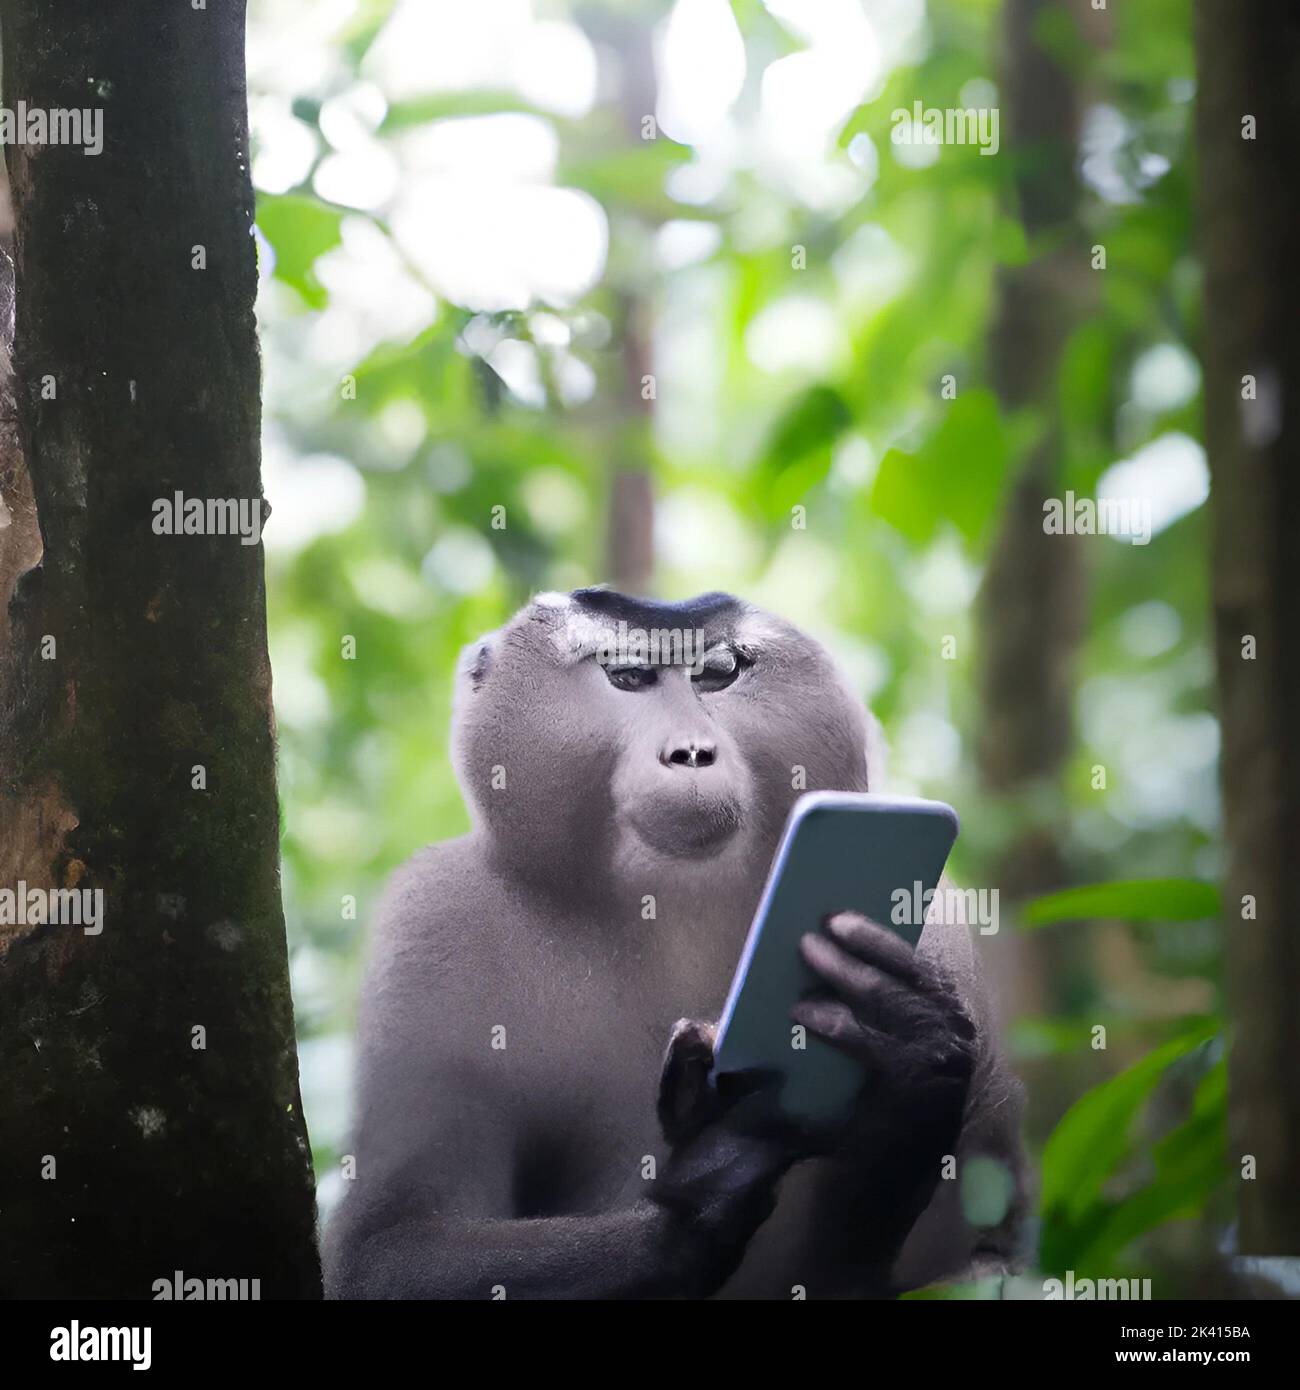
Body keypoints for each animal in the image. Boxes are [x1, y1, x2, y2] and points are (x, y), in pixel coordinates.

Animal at [323, 588, 1027, 1299]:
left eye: (717, 674)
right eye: (629, 676)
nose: (691, 752)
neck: (668, 902)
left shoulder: (939, 933)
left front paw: (914, 1048)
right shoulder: (436, 917)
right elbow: (394, 1246)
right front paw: (717, 1175)